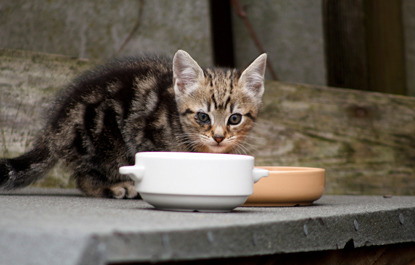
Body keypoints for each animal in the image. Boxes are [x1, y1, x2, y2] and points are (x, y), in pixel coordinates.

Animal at [0, 50, 266, 198]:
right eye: (203, 117)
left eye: (235, 119)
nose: (219, 137)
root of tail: (54, 129)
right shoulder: (145, 137)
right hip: (106, 140)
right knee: (85, 177)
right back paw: (115, 187)